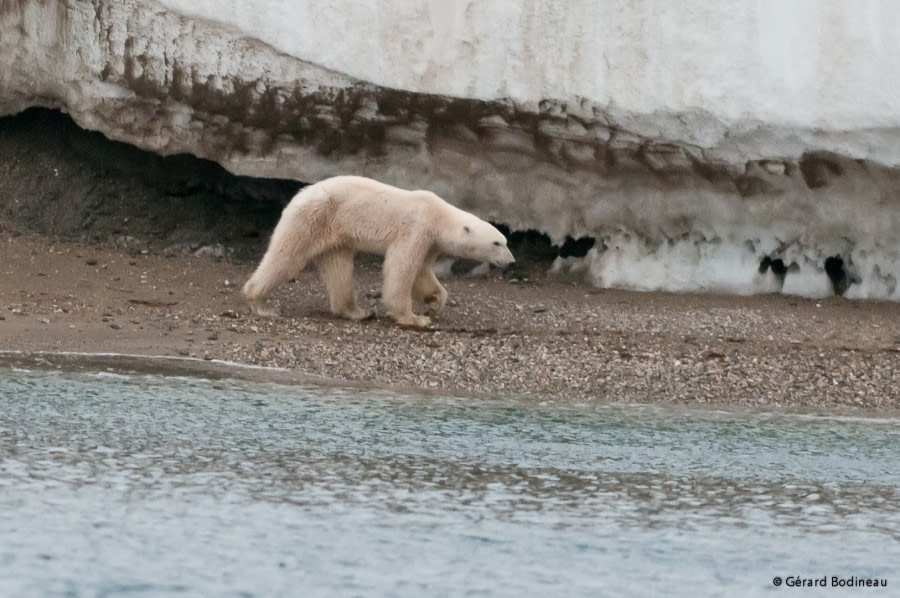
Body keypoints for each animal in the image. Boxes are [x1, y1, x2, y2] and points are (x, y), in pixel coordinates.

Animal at [241, 176, 512, 328]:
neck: (439, 215)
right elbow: (402, 268)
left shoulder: (430, 242)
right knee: (286, 256)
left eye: (505, 241)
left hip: (335, 232)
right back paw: (262, 304)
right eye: (496, 243)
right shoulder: (416, 228)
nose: (511, 261)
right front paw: (415, 318)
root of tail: (298, 196)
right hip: (313, 217)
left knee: (339, 268)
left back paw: (356, 311)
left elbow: (422, 271)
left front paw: (433, 303)